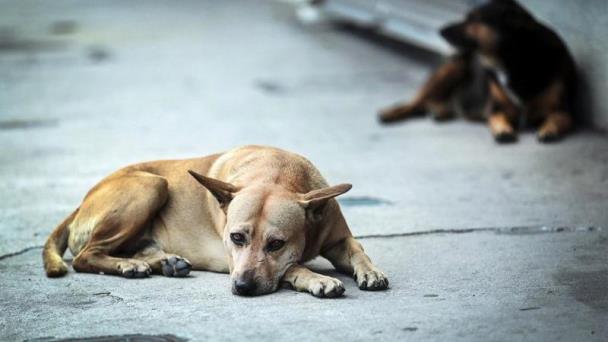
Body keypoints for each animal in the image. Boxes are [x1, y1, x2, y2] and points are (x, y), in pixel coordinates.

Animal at [41, 144, 390, 296]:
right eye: (236, 237)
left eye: (276, 244)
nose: (242, 287)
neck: (277, 174)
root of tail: (82, 202)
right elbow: (293, 267)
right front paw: (316, 278)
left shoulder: (339, 237)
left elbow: (358, 250)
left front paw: (371, 270)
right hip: (151, 185)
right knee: (85, 257)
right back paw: (130, 265)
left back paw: (162, 262)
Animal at [378, 0, 576, 143]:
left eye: (475, 19)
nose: (440, 30)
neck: (514, 61)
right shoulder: (495, 108)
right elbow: (496, 117)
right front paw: (503, 130)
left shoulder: (563, 110)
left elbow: (558, 118)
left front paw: (549, 129)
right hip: (452, 68)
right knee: (415, 102)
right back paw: (390, 113)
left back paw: (440, 112)